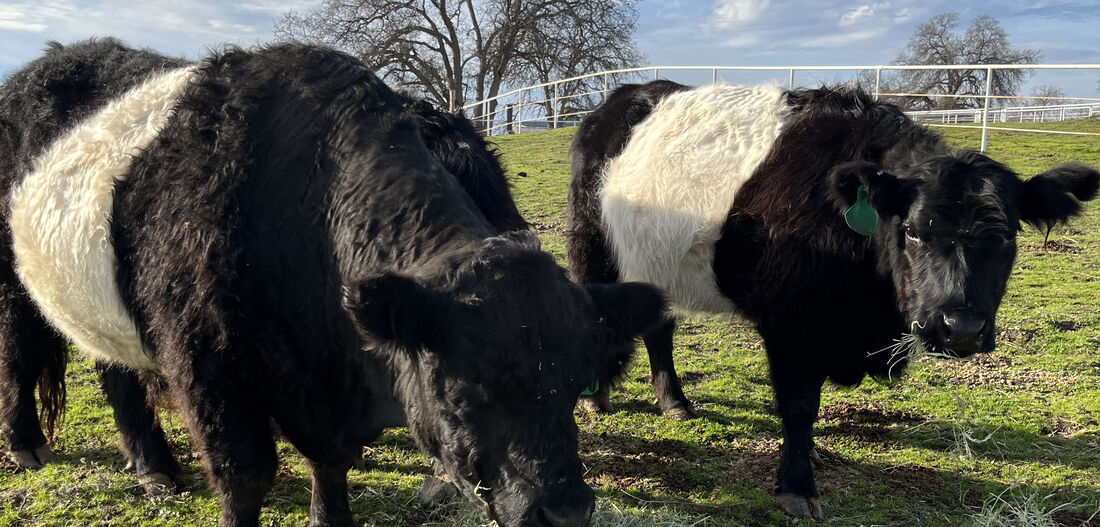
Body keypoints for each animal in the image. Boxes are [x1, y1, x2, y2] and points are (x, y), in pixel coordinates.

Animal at [0, 40, 668, 527]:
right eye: (463, 393)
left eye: (576, 383)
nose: (566, 512)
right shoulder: (209, 367)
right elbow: (245, 477)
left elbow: (330, 464)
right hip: (13, 287)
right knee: (19, 355)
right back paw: (27, 442)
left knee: (114, 370)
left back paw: (153, 463)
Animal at [567, 80, 1099, 520]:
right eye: (912, 231)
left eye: (1007, 237)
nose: (961, 328)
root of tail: (622, 98)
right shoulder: (790, 322)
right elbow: (800, 404)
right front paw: (797, 486)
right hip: (594, 246)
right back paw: (596, 397)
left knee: (660, 327)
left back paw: (674, 402)